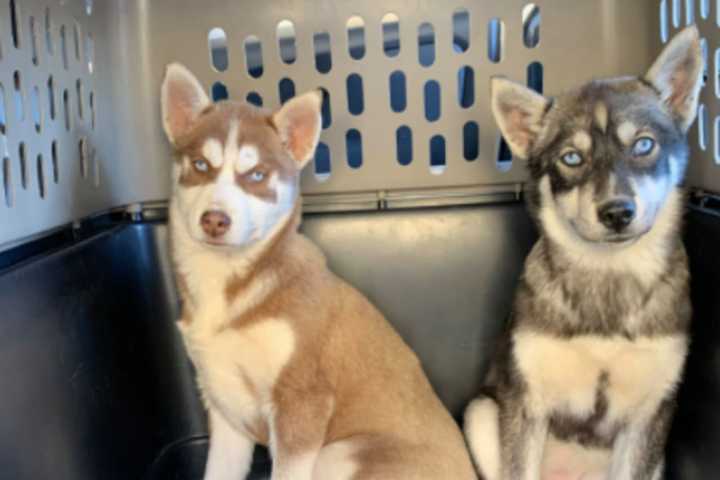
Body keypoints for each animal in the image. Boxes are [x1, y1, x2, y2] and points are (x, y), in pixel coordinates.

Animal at [462, 26, 704, 480]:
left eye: (643, 145)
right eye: (571, 158)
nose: (617, 212)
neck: (609, 274)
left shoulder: (649, 415)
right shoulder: (525, 402)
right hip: (481, 413)